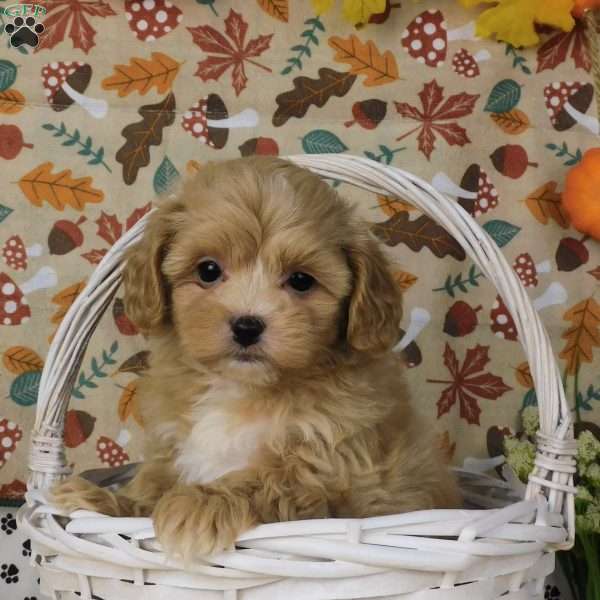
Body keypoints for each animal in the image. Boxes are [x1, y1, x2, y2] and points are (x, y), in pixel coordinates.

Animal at [55, 157, 460, 560]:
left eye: (301, 280)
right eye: (208, 270)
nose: (247, 326)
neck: (242, 387)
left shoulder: (336, 469)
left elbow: (268, 478)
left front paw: (199, 503)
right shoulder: (172, 447)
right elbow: (153, 485)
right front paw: (103, 502)